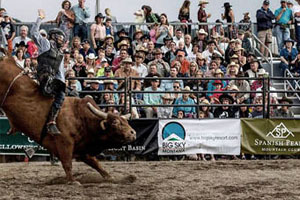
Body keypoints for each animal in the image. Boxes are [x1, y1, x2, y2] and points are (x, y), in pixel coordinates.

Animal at [0, 53, 137, 184]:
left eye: (125, 121)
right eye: (115, 122)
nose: (133, 133)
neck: (80, 117)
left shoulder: (82, 148)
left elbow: (96, 163)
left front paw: (112, 178)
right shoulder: (64, 143)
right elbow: (67, 164)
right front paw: (72, 181)